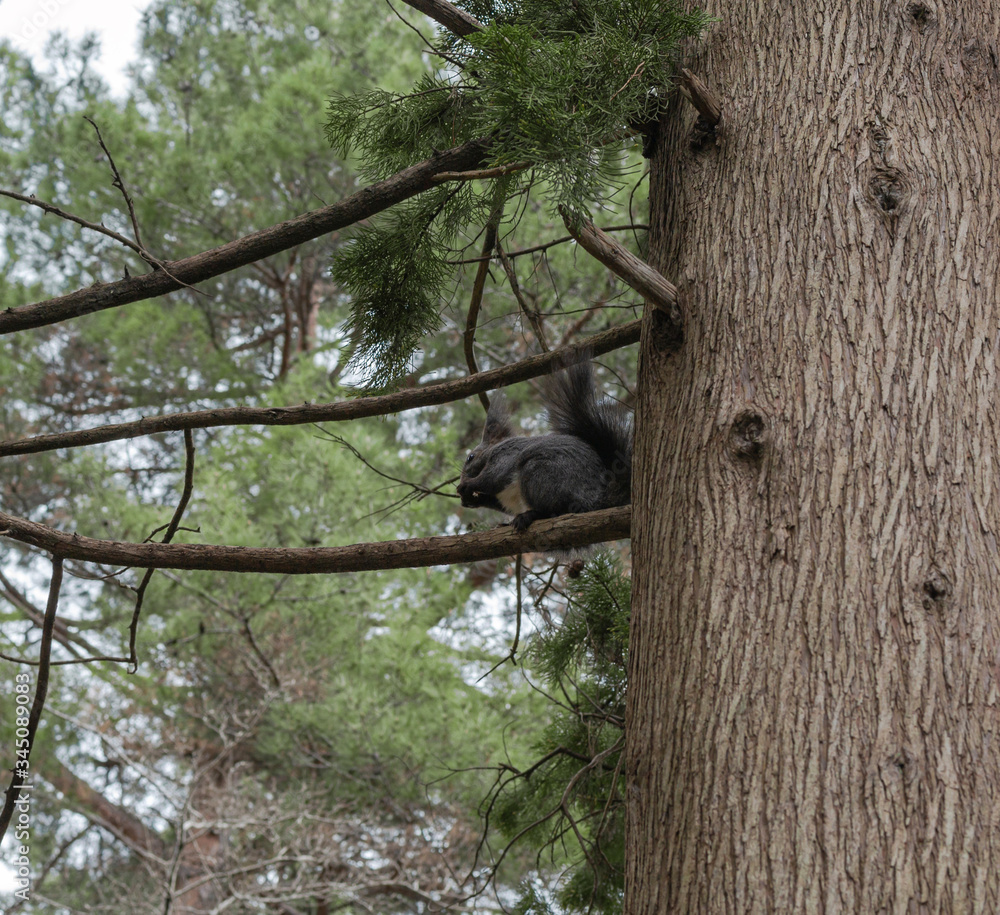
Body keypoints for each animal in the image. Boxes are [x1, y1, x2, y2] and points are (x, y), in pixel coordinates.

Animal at [457, 359, 632, 531]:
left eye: (470, 457)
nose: (462, 478)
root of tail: (594, 500)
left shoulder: (506, 454)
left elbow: (493, 477)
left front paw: (467, 485)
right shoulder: (504, 498)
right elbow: (496, 500)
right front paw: (473, 500)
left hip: (542, 475)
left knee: (555, 510)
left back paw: (530, 516)